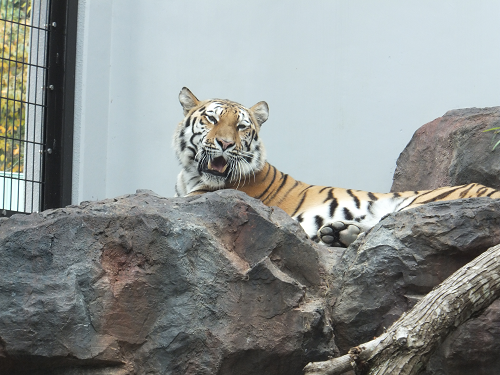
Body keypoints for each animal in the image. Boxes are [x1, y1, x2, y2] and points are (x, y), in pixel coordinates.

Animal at [173, 86, 500, 248]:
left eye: (241, 127)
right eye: (212, 119)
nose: (226, 144)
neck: (189, 176)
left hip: (421, 202)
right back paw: (339, 233)